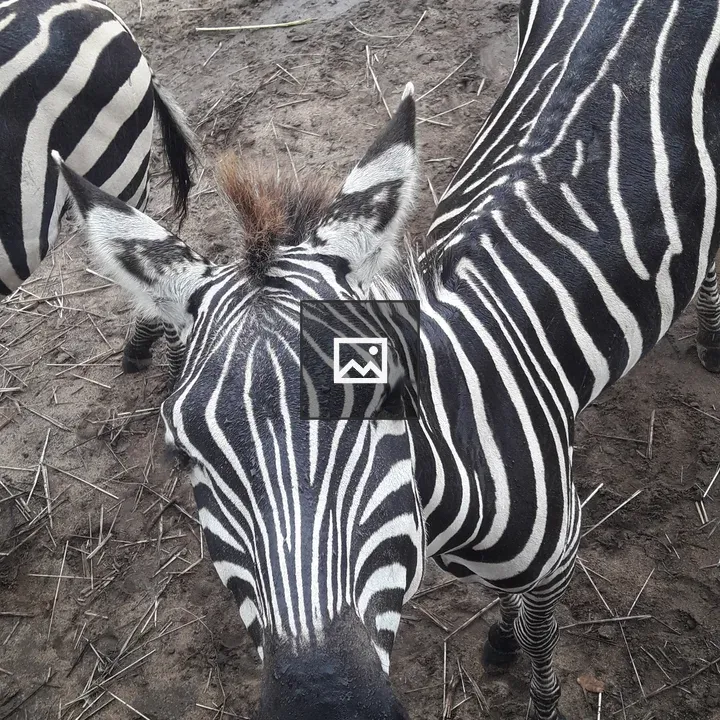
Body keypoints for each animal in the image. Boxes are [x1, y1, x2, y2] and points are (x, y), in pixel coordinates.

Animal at [52, 0, 720, 717]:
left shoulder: (560, 557)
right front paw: (502, 628)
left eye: (392, 402)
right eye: (182, 455)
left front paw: (528, 667)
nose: (328, 706)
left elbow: (542, 638)